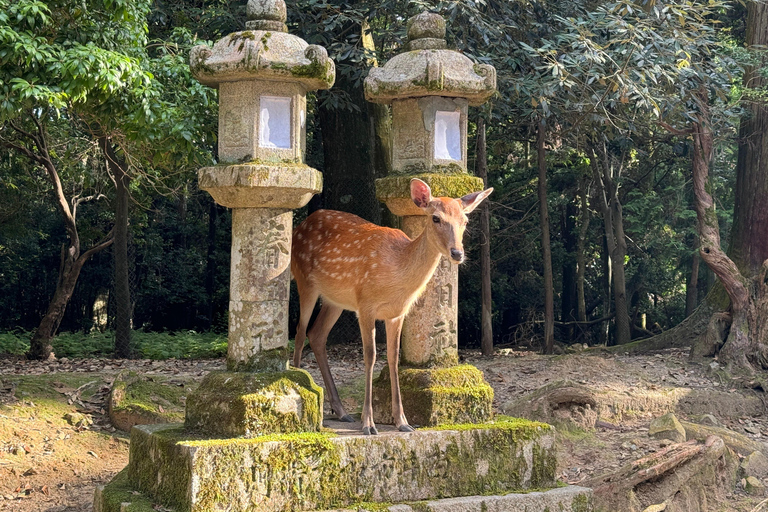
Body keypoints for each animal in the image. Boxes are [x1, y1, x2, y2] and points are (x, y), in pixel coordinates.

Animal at [288, 178, 492, 434]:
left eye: (465, 221)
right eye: (436, 218)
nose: (457, 253)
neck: (397, 274)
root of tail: (299, 227)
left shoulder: (396, 313)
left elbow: (393, 359)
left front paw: (402, 421)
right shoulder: (365, 305)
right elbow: (370, 356)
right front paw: (369, 423)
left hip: (335, 300)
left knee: (316, 334)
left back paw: (341, 411)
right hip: (304, 280)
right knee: (299, 332)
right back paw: (304, 388)